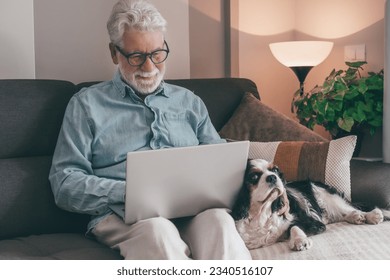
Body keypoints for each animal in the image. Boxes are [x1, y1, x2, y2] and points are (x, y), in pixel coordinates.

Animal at [232, 159, 390, 250]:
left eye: (275, 170)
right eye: (253, 176)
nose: (272, 177)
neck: (262, 212)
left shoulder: (314, 223)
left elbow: (294, 226)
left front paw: (300, 240)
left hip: (326, 195)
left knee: (351, 208)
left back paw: (372, 215)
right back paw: (356, 217)